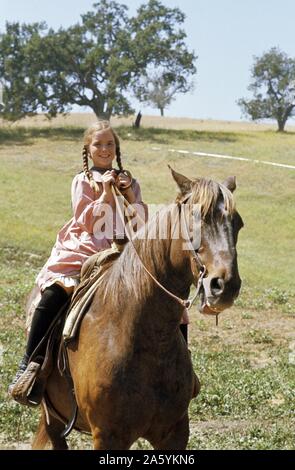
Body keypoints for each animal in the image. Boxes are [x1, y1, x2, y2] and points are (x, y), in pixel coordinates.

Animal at [31, 167, 244, 450]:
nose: (225, 285)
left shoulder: (175, 432)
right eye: (195, 218)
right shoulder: (108, 436)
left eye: (238, 223)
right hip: (53, 417)